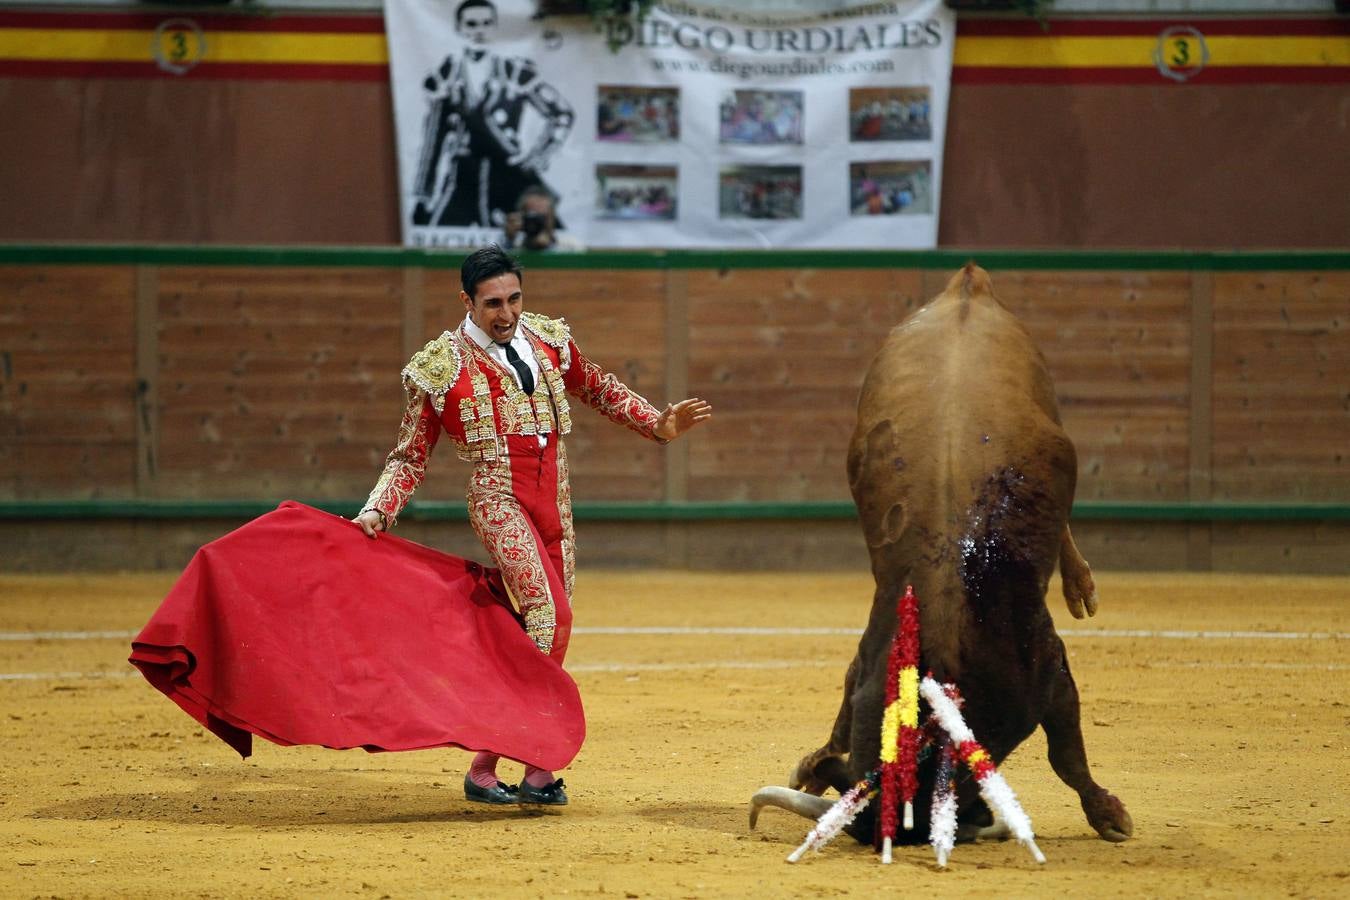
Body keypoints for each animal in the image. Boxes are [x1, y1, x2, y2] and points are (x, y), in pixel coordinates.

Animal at [756, 264, 1134, 847]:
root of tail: (966, 286)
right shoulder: (865, 660)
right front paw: (812, 766)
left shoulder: (1049, 665)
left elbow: (1066, 752)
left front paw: (1109, 814)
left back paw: (1081, 587)